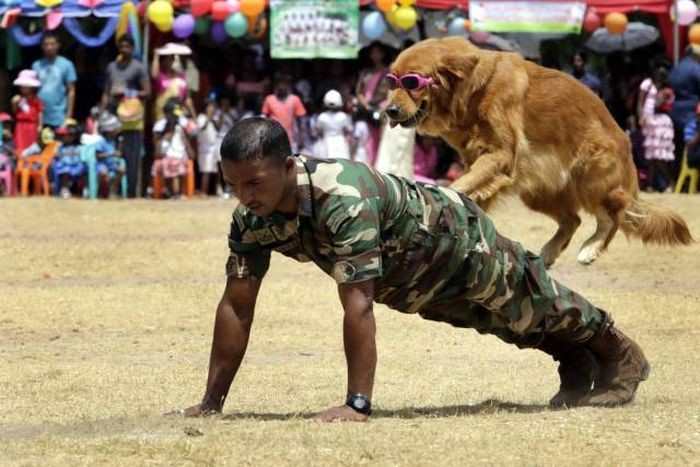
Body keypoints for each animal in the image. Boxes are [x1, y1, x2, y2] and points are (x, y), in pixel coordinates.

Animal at [386, 36, 692, 266]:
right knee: (573, 219)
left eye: (412, 82)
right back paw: (549, 252)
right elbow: (472, 187)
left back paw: (590, 249)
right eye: (392, 81)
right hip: (538, 191)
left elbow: (461, 183)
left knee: (614, 215)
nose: (388, 110)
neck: (474, 90)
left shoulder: (501, 153)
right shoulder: (478, 159)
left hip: (590, 173)